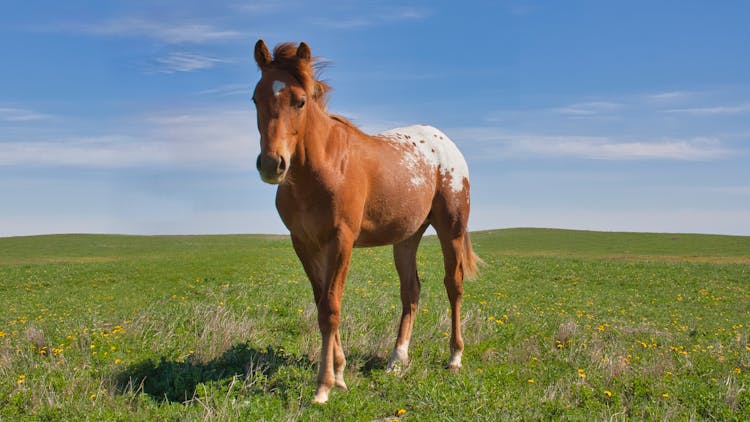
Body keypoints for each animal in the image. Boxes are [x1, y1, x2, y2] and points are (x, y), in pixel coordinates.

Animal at [253, 40, 482, 406]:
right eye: (256, 98)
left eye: (299, 101)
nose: (272, 164)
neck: (320, 168)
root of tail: (445, 142)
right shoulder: (303, 243)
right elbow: (321, 303)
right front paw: (340, 373)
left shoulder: (340, 241)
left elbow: (331, 308)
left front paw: (324, 386)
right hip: (406, 238)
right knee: (411, 291)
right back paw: (397, 360)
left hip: (452, 229)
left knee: (454, 285)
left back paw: (455, 356)